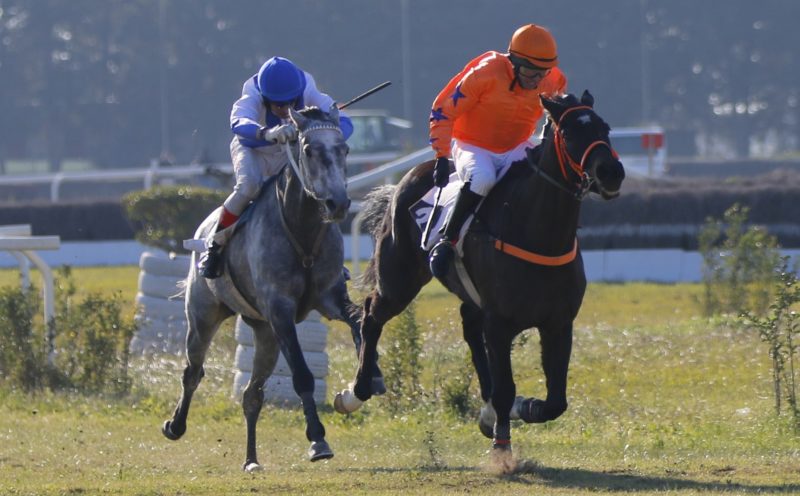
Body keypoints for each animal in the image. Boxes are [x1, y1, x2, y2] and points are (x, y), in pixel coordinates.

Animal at [160, 103, 384, 468]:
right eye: (309, 150)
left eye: (345, 149)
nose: (338, 204)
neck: (303, 231)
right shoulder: (280, 310)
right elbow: (303, 375)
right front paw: (317, 439)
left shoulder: (329, 297)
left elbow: (360, 323)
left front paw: (364, 384)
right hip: (204, 316)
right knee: (192, 371)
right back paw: (175, 426)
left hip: (264, 334)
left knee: (252, 394)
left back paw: (251, 459)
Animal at [334, 92, 628, 458]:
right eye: (569, 132)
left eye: (605, 127)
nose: (611, 171)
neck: (538, 232)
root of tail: (406, 177)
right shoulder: (500, 323)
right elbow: (505, 389)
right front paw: (503, 449)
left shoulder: (558, 323)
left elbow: (555, 401)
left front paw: (521, 408)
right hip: (399, 281)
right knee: (371, 316)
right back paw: (354, 393)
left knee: (469, 327)